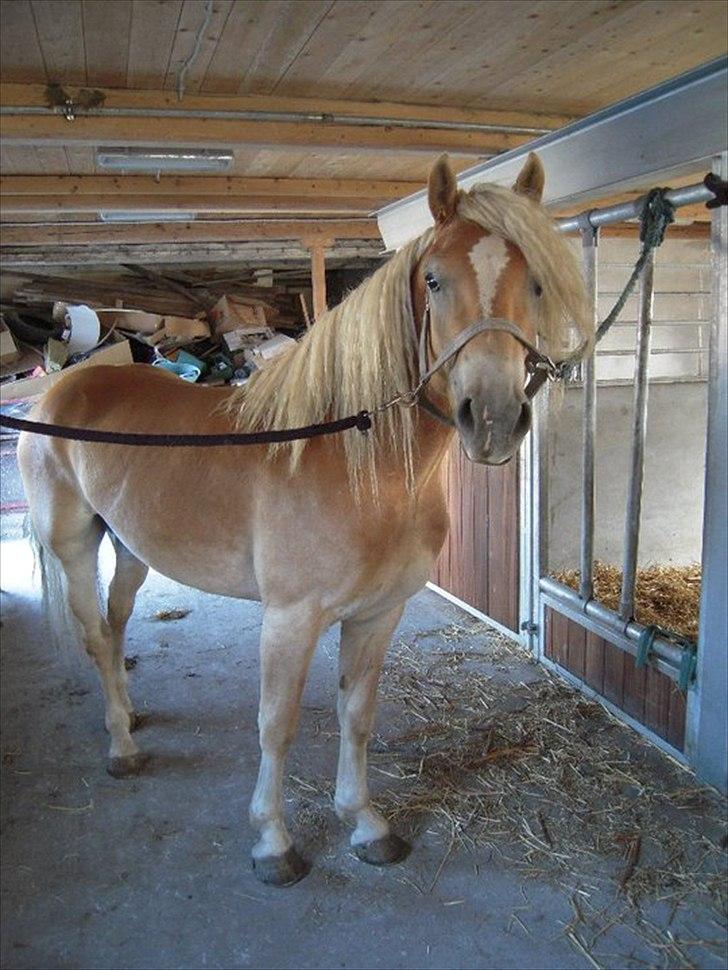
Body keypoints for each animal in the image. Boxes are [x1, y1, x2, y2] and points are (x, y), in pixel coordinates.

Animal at [18, 151, 592, 884]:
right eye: (434, 279)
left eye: (538, 282)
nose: (492, 419)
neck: (354, 461)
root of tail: (61, 388)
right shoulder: (290, 620)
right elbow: (278, 724)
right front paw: (273, 842)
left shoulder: (378, 614)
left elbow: (357, 714)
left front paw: (366, 823)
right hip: (74, 546)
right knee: (95, 634)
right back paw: (121, 746)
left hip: (131, 548)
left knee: (117, 628)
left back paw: (129, 711)